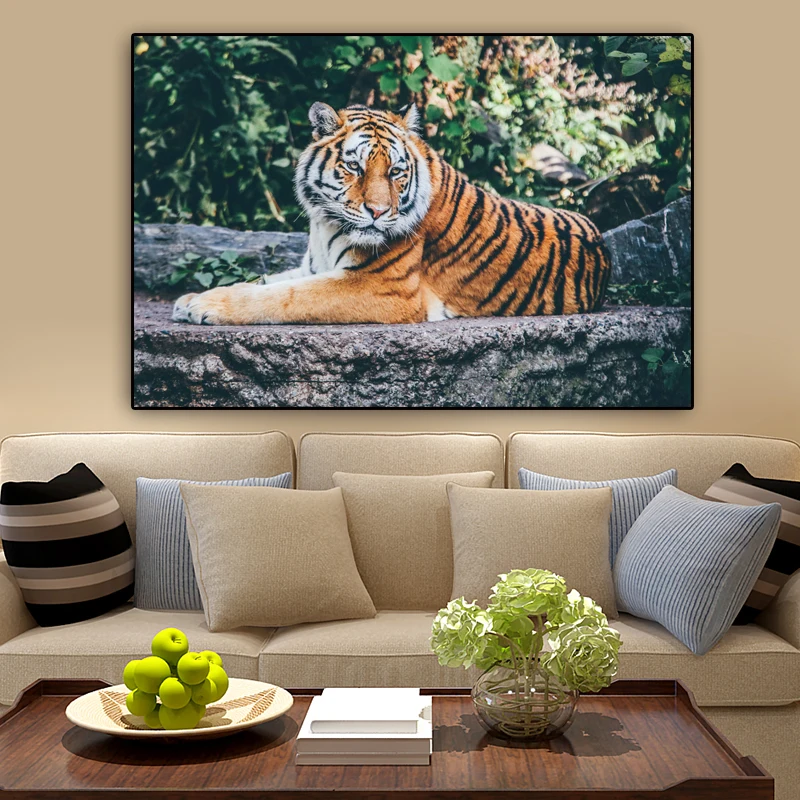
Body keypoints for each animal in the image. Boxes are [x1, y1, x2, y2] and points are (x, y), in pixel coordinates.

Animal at [172, 102, 611, 325]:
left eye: (396, 172)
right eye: (355, 167)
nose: (379, 212)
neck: (324, 224)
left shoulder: (381, 287)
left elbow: (284, 296)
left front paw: (205, 307)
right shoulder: (314, 266)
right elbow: (265, 281)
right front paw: (191, 298)